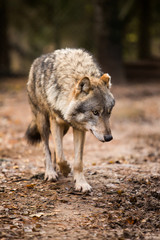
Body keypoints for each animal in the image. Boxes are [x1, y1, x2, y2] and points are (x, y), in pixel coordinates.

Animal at [25, 47, 115, 192]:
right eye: (95, 112)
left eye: (108, 113)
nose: (108, 138)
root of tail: (37, 60)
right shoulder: (55, 122)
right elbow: (60, 155)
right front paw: (66, 169)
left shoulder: (79, 128)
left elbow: (77, 161)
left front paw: (81, 183)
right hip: (43, 122)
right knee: (47, 148)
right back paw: (50, 172)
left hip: (65, 128)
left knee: (56, 148)